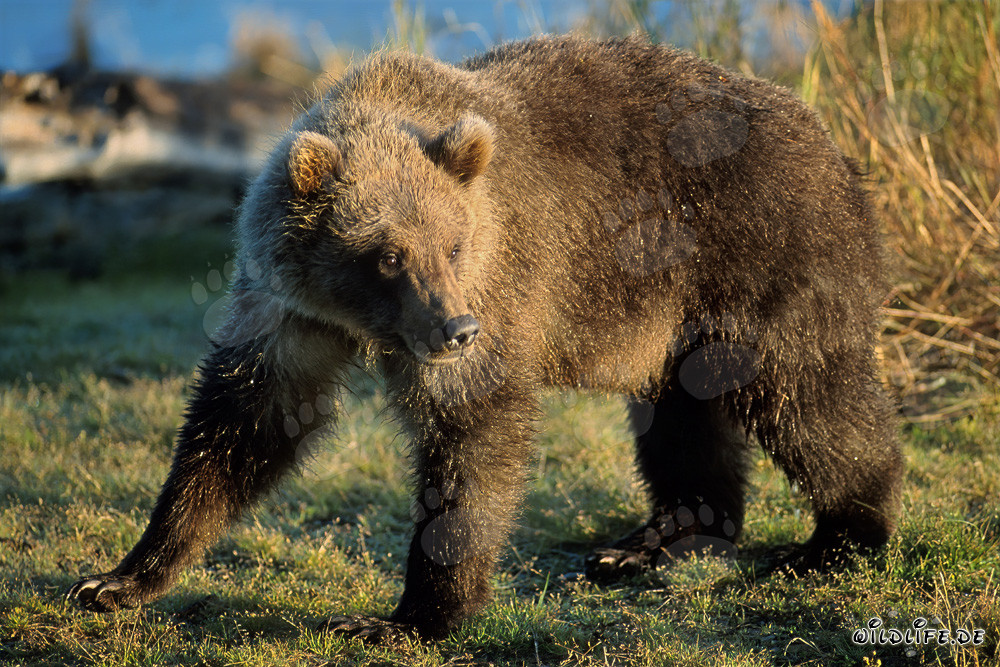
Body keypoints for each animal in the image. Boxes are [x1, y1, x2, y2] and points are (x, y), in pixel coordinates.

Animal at [66, 35, 903, 641]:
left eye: (454, 243)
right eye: (387, 253)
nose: (455, 329)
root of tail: (833, 139)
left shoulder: (501, 286)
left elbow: (471, 436)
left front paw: (404, 617)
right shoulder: (288, 312)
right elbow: (244, 422)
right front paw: (117, 578)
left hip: (757, 252)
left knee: (807, 396)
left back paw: (838, 536)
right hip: (676, 310)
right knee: (682, 416)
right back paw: (651, 540)